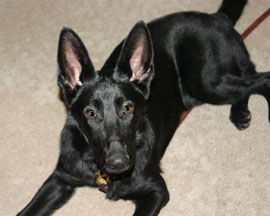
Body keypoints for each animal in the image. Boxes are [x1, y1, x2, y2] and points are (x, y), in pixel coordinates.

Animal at [17, 0, 270, 215]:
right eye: (91, 113)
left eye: (128, 109)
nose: (119, 162)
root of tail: (216, 17)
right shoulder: (60, 179)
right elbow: (25, 211)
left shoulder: (156, 191)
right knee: (249, 76)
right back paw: (240, 112)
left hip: (206, 82)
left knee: (260, 78)